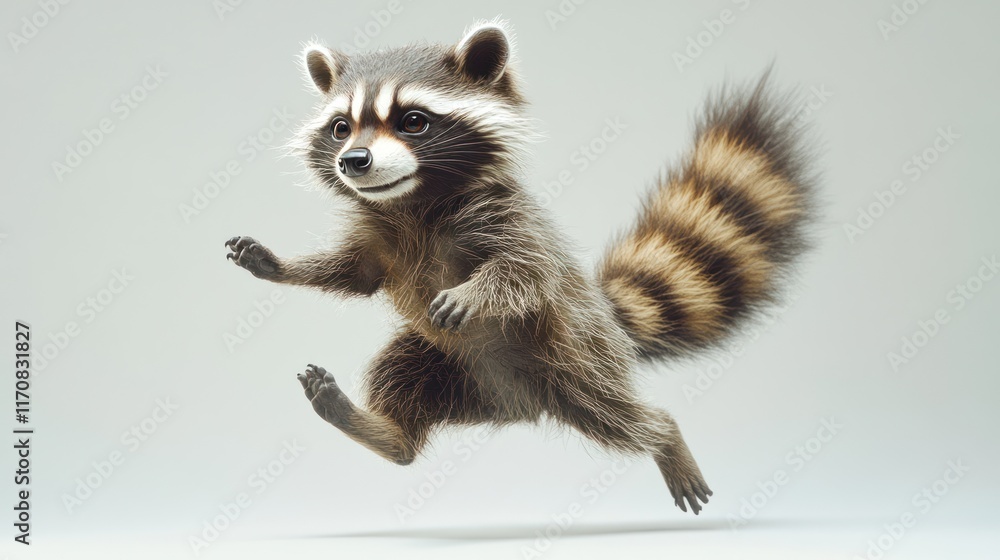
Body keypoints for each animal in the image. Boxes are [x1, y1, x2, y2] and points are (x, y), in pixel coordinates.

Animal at [224, 20, 816, 515]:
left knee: (614, 413)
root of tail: (513, 405)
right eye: (342, 127)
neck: (412, 203)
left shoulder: (511, 222)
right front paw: (279, 264)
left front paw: (476, 290)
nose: (354, 162)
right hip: (444, 361)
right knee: (399, 370)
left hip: (574, 356)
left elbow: (523, 273)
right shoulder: (381, 239)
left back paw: (666, 436)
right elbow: (354, 273)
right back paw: (387, 433)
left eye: (413, 121)